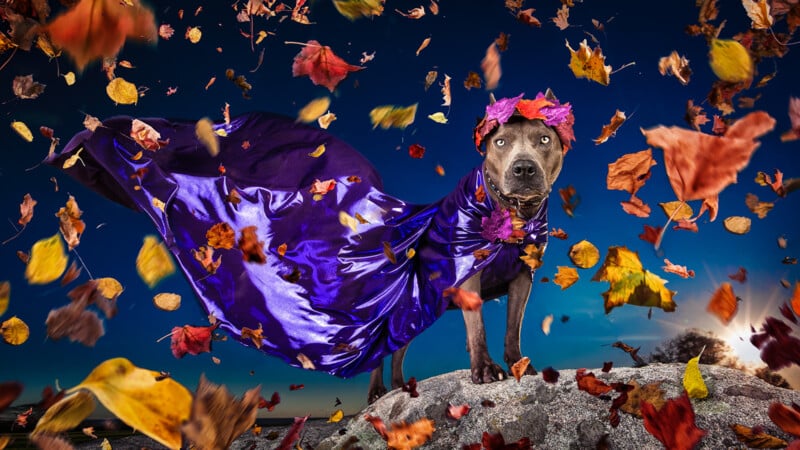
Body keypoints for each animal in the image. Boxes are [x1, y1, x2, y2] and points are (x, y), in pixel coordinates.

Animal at [368, 90, 576, 400]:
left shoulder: (522, 276)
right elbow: (477, 327)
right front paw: (486, 370)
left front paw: (518, 365)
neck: (511, 212)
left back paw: (400, 386)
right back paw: (377, 391)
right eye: (500, 142)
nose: (524, 168)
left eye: (544, 139)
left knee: (398, 351)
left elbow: (512, 327)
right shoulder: (469, 270)